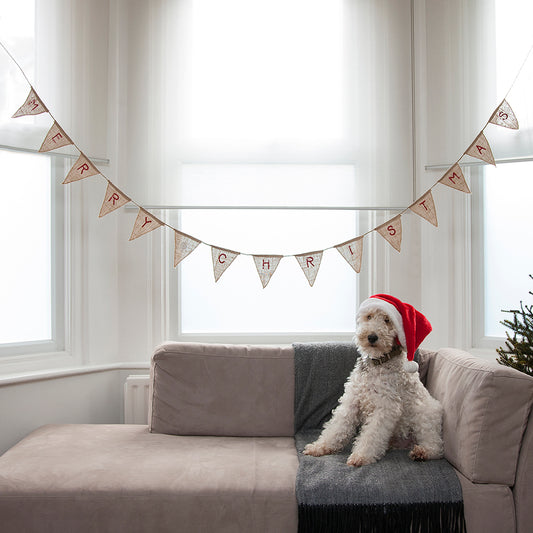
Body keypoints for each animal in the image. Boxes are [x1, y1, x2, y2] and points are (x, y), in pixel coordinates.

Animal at [302, 296, 442, 466]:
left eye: (387, 320)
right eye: (368, 316)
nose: (372, 337)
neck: (377, 362)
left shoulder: (385, 406)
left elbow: (371, 435)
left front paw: (361, 456)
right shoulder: (352, 401)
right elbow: (336, 427)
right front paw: (319, 447)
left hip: (423, 415)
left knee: (436, 445)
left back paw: (422, 452)